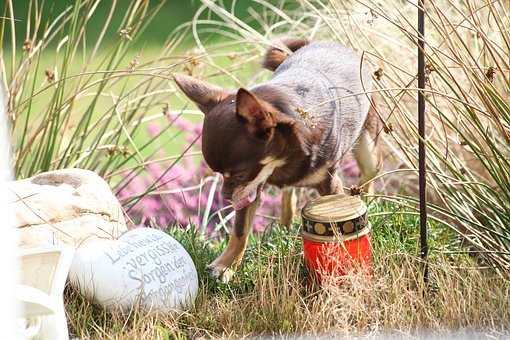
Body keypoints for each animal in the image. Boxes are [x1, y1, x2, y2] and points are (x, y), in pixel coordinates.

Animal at [173, 38, 380, 282]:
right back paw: (286, 222)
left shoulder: (328, 183)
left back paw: (369, 200)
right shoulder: (252, 188)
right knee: (289, 191)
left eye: (239, 174)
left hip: (368, 146)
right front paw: (226, 265)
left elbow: (336, 228)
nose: (226, 197)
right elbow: (240, 231)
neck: (281, 160)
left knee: (369, 174)